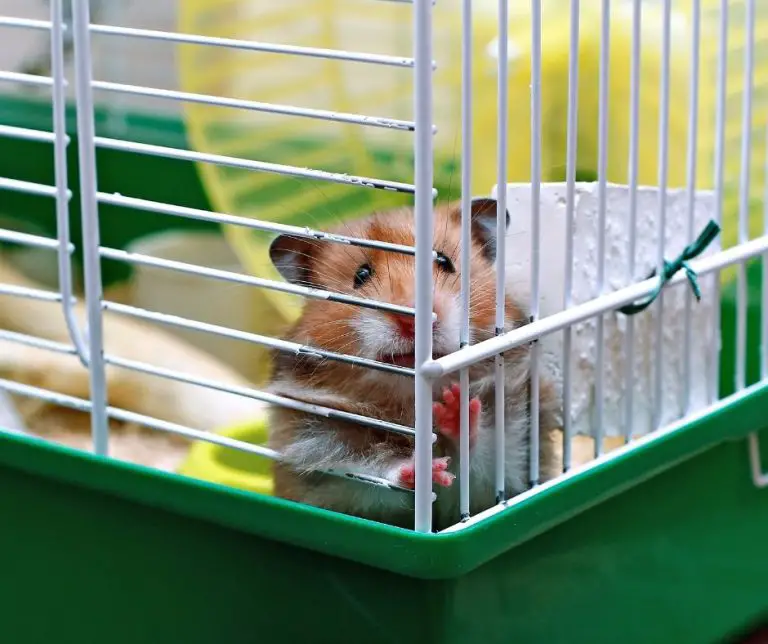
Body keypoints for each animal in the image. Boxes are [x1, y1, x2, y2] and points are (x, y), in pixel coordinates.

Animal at [265, 198, 562, 531]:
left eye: (445, 261)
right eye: (361, 275)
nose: (410, 320)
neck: (409, 398)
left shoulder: (514, 447)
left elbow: (480, 458)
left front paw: (455, 407)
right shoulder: (317, 448)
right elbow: (370, 471)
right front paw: (422, 469)